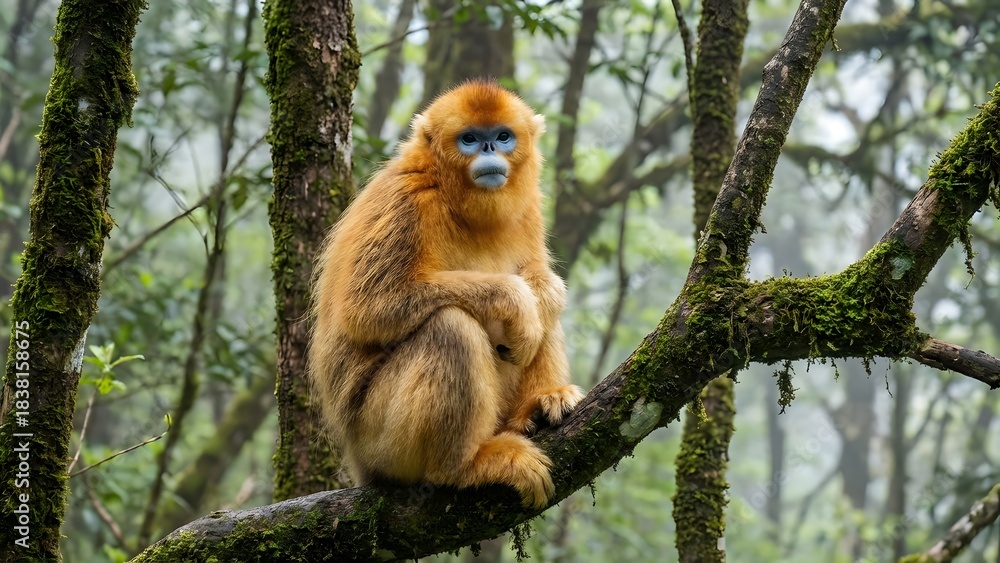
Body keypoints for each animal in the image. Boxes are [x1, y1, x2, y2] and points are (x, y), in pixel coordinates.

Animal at [307, 80, 584, 509]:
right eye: (469, 139)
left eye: (503, 136)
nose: (488, 150)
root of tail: (358, 462)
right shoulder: (407, 199)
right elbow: (366, 309)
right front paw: (515, 300)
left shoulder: (529, 207)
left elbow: (540, 282)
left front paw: (545, 293)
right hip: (379, 440)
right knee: (450, 325)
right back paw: (465, 467)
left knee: (541, 315)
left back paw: (540, 403)